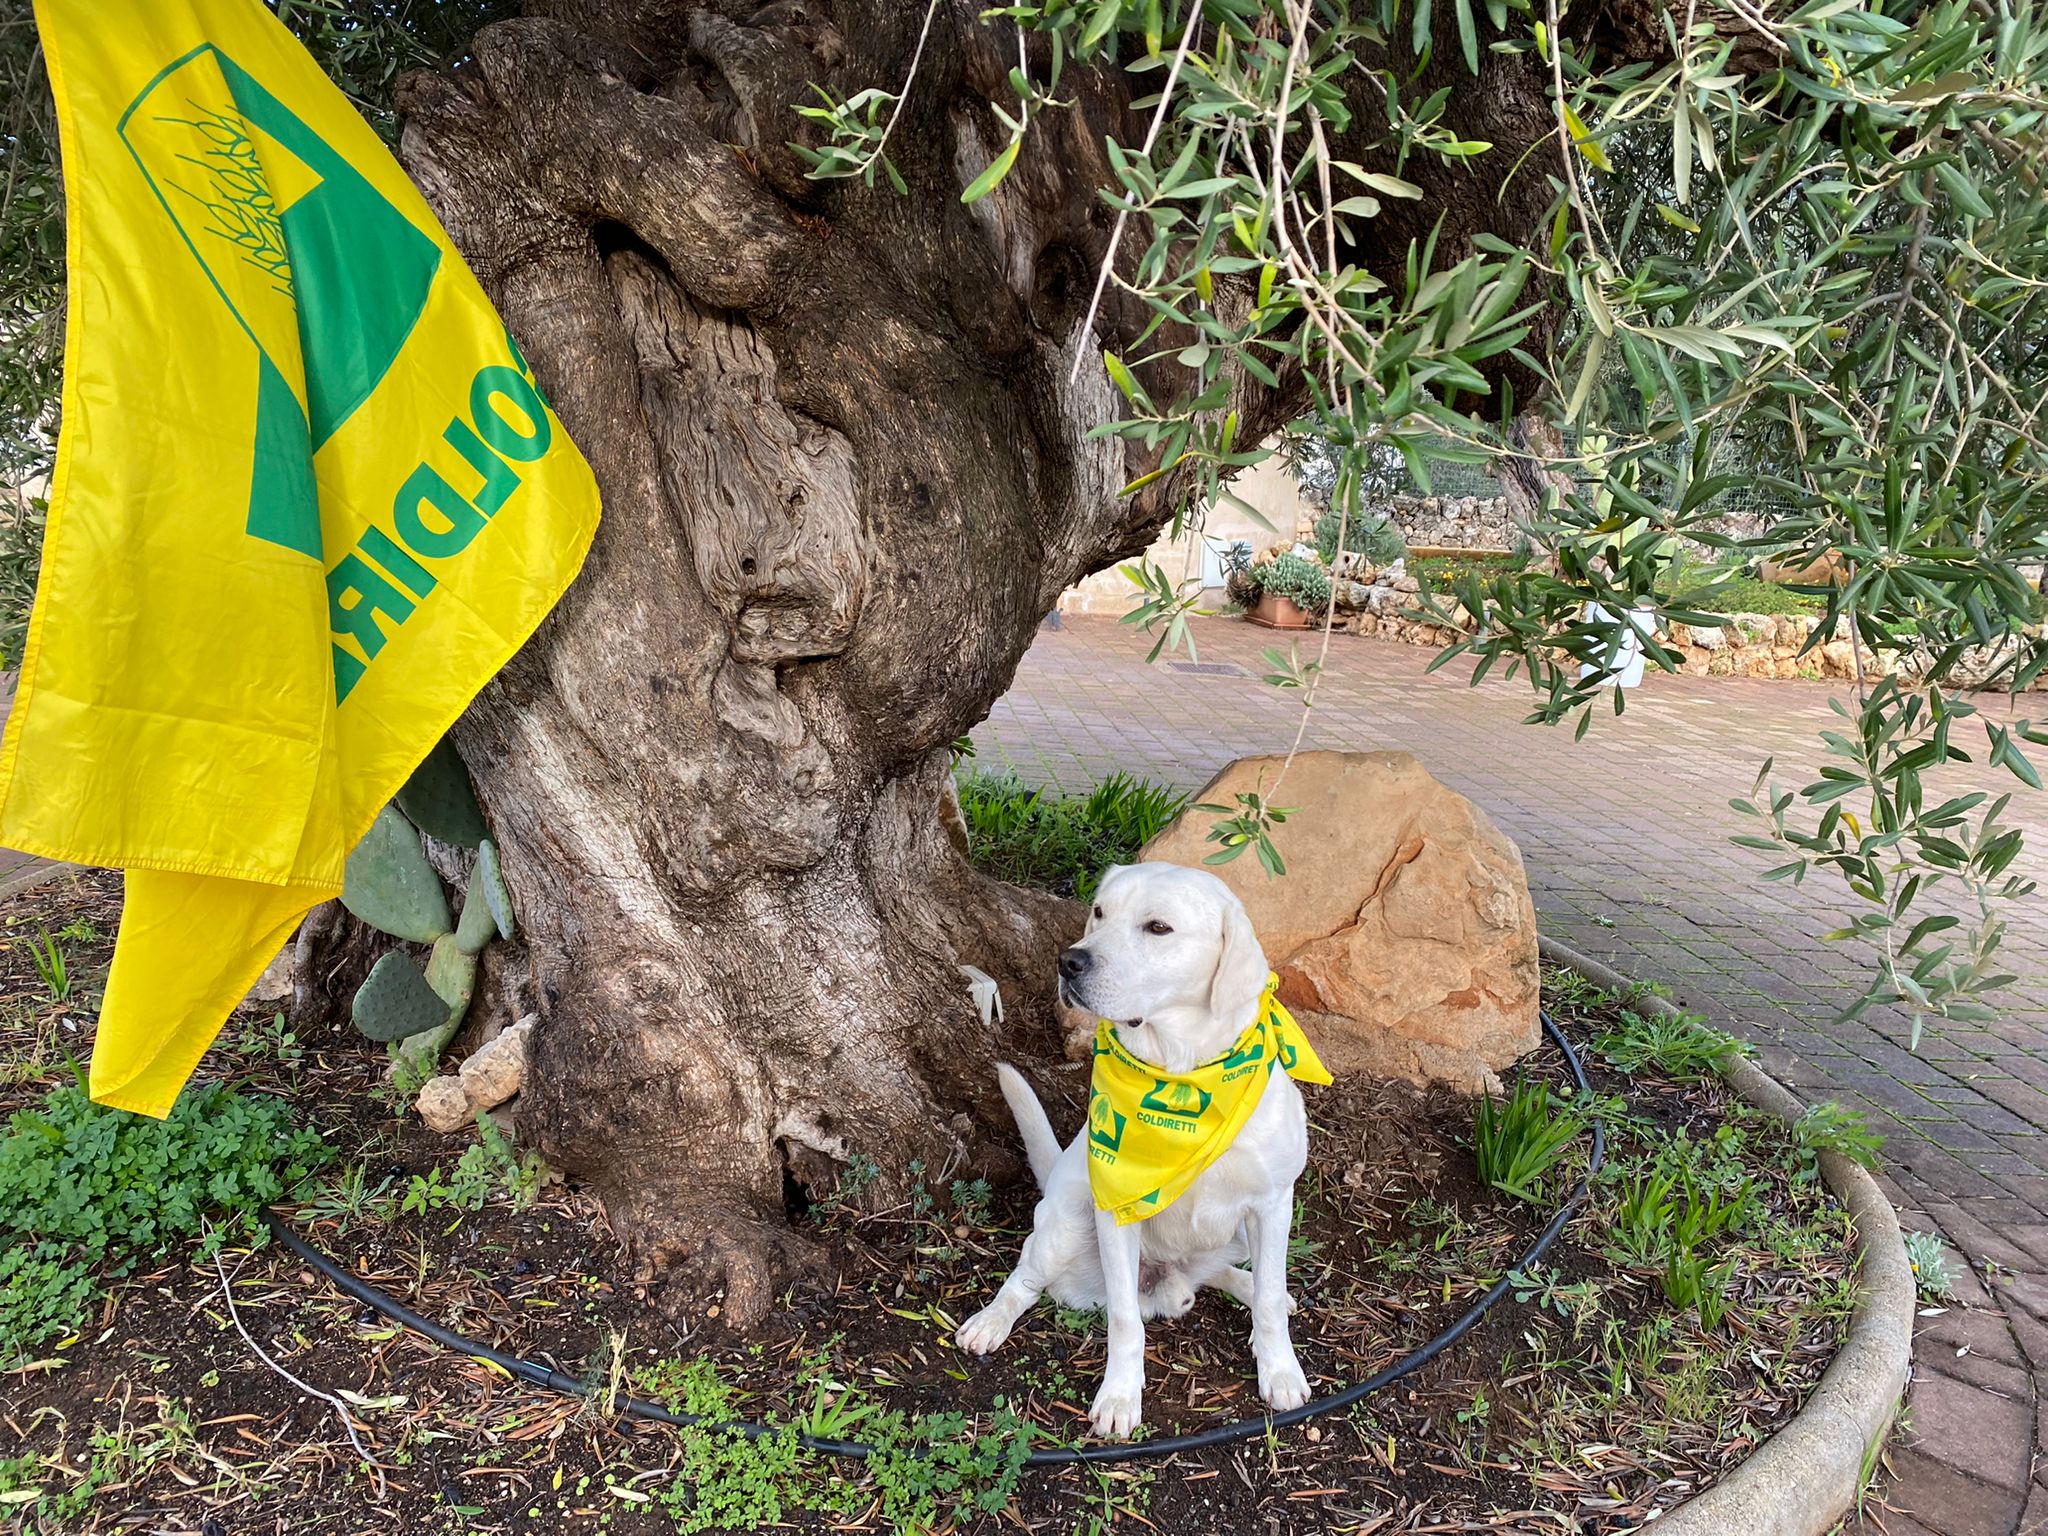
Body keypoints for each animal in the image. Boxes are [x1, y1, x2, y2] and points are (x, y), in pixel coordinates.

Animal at [954, 868, 1310, 1441]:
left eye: (1159, 927)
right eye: (1099, 912)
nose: (1069, 961)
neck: (1183, 1081)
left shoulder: (1274, 1204)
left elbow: (1273, 1301)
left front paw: (1279, 1369)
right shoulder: (1115, 1213)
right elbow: (1124, 1320)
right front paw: (1120, 1396)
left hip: (1235, 1231)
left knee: (1222, 1274)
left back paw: (1244, 1283)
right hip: (1065, 1223)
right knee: (1025, 1278)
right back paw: (990, 1321)